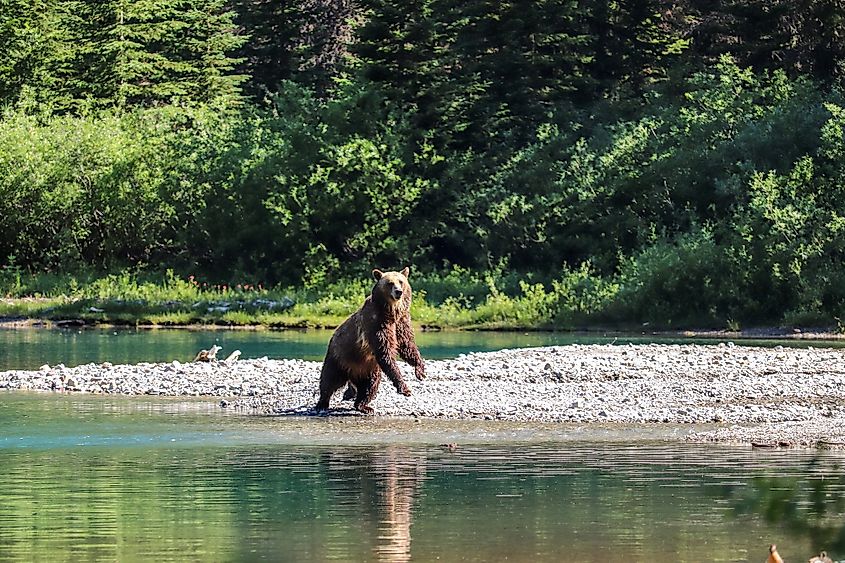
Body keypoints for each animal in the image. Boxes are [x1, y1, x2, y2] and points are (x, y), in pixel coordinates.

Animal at [314, 268, 426, 414]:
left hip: (368, 368)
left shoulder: (401, 323)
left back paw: (364, 405)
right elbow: (385, 352)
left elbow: (407, 345)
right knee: (329, 379)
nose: (398, 292)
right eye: (390, 283)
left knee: (370, 385)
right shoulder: (376, 324)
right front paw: (405, 388)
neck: (391, 312)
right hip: (340, 357)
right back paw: (322, 403)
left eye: (401, 281)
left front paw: (420, 371)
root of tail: (352, 374)